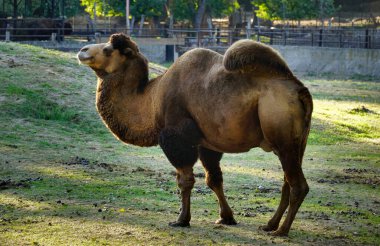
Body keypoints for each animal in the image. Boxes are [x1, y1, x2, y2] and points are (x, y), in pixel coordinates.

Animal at [76, 33, 312, 236]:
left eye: (107, 49)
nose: (82, 50)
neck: (151, 99)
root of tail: (299, 89)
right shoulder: (205, 143)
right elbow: (214, 179)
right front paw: (226, 217)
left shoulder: (177, 138)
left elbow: (185, 180)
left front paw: (182, 219)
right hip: (297, 142)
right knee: (287, 181)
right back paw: (270, 225)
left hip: (282, 136)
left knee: (298, 185)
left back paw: (282, 231)